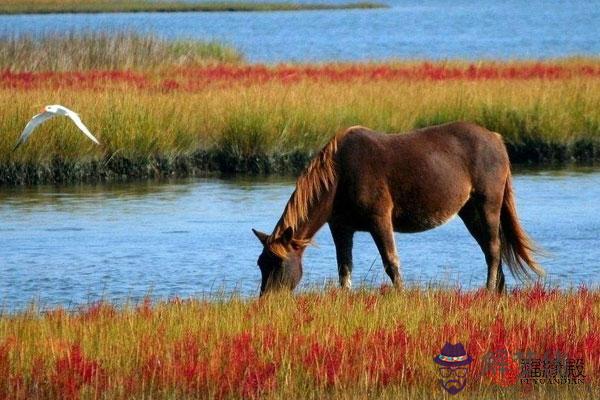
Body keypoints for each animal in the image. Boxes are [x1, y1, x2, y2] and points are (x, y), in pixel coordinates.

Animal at [253, 122, 544, 294]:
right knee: (489, 249)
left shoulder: (380, 220)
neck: (339, 175)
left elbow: (391, 262)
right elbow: (344, 267)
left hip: (488, 204)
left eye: (278, 263)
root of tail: (496, 138)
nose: (267, 301)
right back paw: (498, 290)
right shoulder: (341, 227)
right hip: (469, 211)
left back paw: (488, 291)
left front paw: (400, 295)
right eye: (260, 263)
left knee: (493, 249)